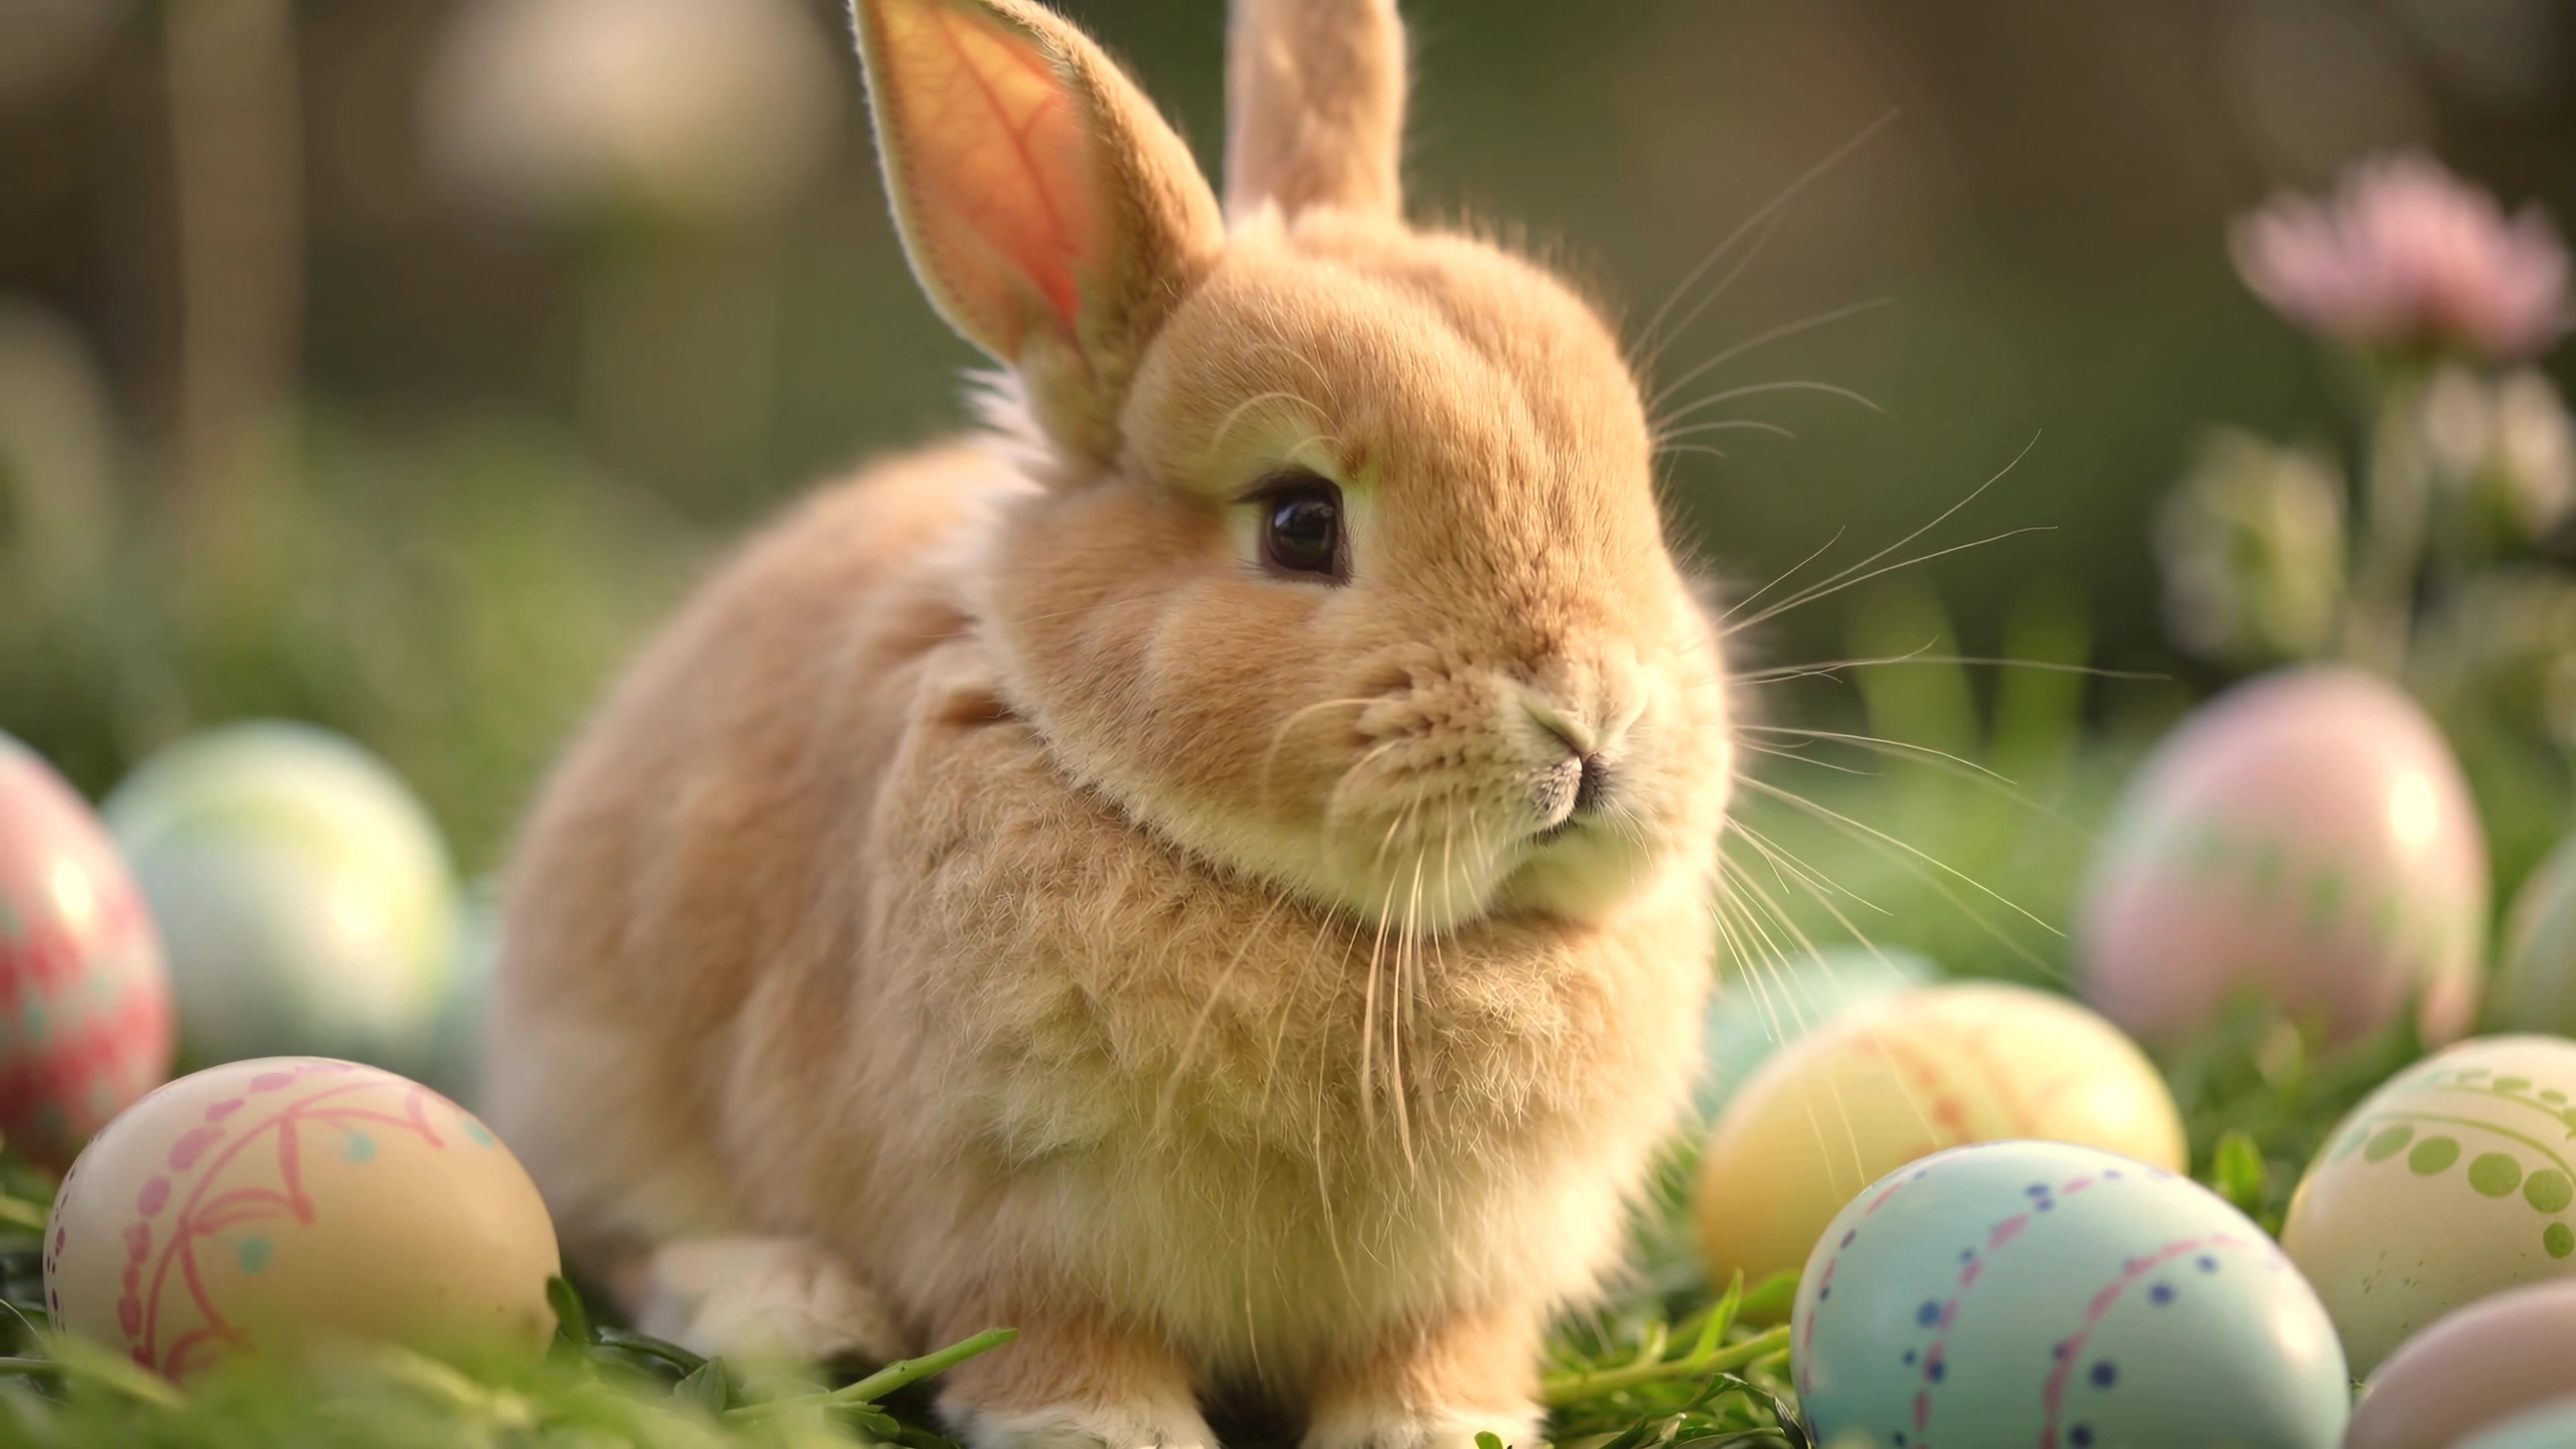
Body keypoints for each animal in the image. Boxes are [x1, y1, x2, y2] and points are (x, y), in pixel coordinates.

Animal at [481, 0, 1737, 1446]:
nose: (1592, 717)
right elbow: (1059, 1342)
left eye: (1638, 495)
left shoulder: (1464, 1280)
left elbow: (1430, 1357)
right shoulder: (1014, 1220)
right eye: (1299, 522)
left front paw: (1439, 1430)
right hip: (602, 1066)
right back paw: (796, 1311)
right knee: (617, 1236)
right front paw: (1106, 1430)